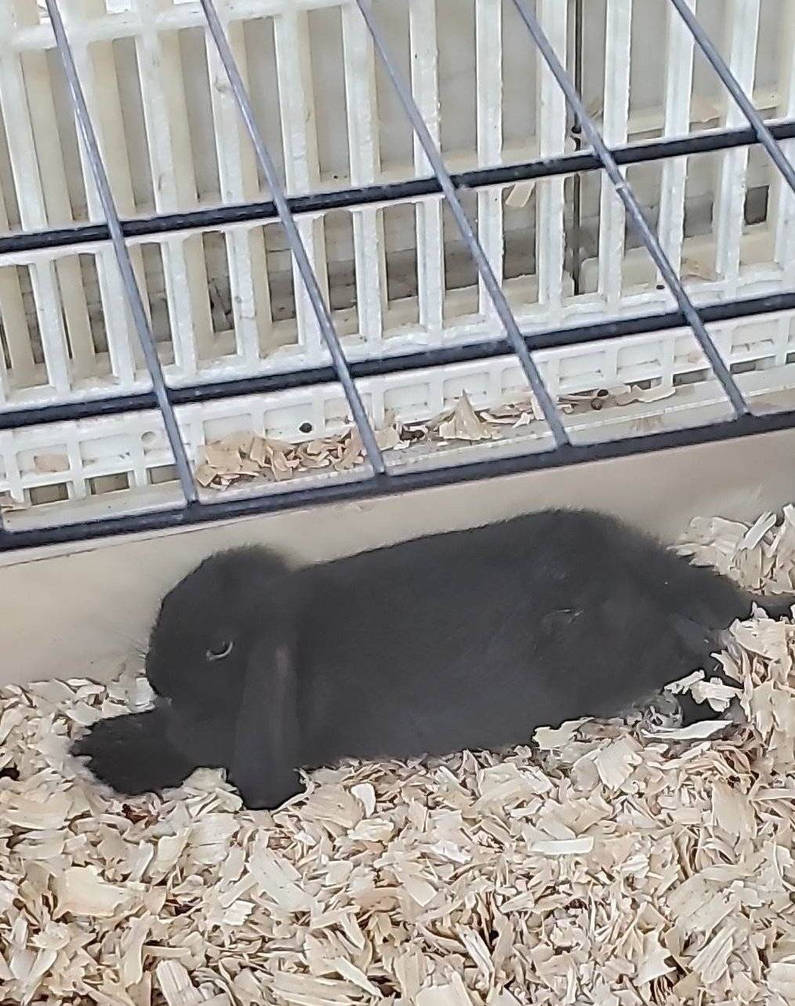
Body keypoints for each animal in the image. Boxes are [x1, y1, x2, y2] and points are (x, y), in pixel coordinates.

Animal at [73, 508, 794, 810]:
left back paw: (700, 710)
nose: (155, 677)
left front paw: (105, 755)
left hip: (622, 659)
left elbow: (179, 748)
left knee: (699, 652)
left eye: (218, 646)